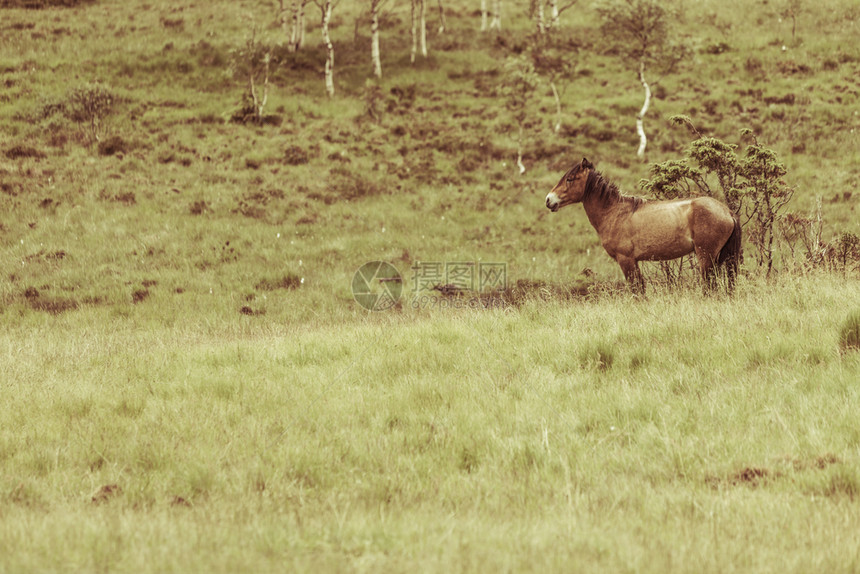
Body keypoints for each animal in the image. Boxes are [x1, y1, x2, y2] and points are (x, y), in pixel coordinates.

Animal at [548, 158, 744, 292]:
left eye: (570, 179)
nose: (549, 200)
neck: (615, 213)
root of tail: (727, 212)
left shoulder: (626, 260)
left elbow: (637, 290)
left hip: (706, 257)